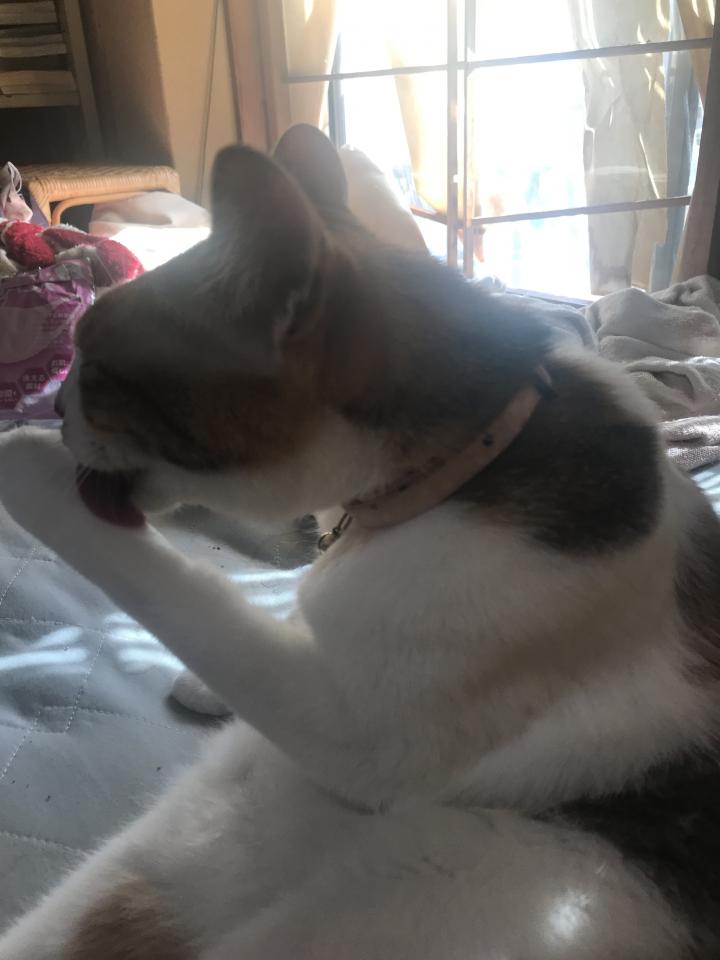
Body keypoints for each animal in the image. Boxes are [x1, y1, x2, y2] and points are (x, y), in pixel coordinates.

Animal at [0, 124, 719, 959]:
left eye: (98, 372)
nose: (54, 404)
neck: (475, 457)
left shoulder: (348, 728)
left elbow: (193, 600)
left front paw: (23, 462)